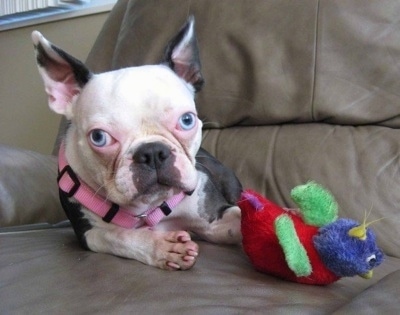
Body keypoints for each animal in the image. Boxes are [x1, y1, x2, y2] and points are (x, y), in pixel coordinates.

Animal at [31, 16, 242, 270]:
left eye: (187, 120)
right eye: (99, 137)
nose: (152, 152)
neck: (149, 209)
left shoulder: (215, 219)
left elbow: (240, 219)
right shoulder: (89, 233)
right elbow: (119, 236)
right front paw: (165, 248)